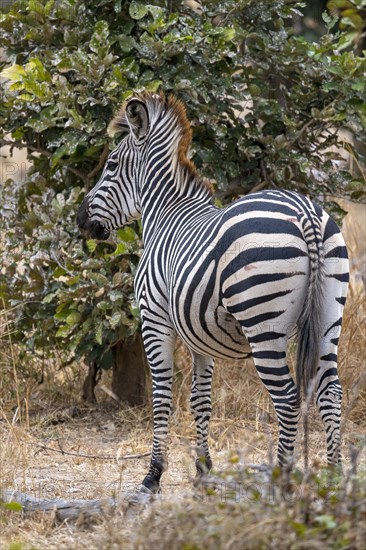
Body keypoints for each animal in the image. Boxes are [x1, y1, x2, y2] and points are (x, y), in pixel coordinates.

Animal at [77, 91, 348, 496]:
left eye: (111, 165)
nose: (81, 221)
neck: (165, 216)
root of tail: (304, 212)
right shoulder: (200, 337)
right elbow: (199, 400)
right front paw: (203, 470)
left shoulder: (154, 320)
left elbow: (162, 396)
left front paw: (153, 476)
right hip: (330, 316)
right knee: (330, 393)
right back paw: (334, 481)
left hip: (263, 323)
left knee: (287, 399)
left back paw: (281, 483)